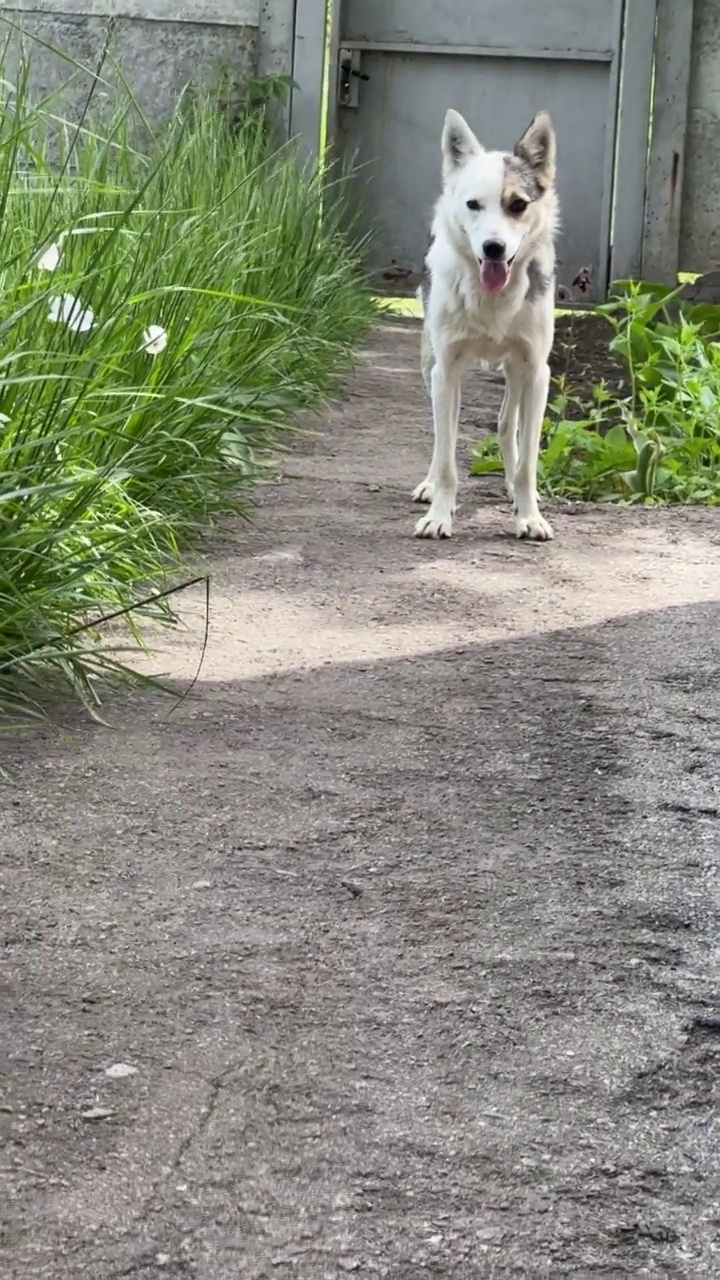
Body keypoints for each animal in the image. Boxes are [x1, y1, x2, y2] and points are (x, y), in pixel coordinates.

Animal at [412, 103, 558, 535]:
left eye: (518, 205)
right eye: (473, 205)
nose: (494, 248)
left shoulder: (537, 371)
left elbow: (528, 461)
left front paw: (529, 515)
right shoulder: (446, 369)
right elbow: (447, 455)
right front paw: (439, 514)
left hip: (516, 372)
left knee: (507, 425)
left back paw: (511, 487)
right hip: (430, 365)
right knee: (441, 436)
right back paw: (429, 485)